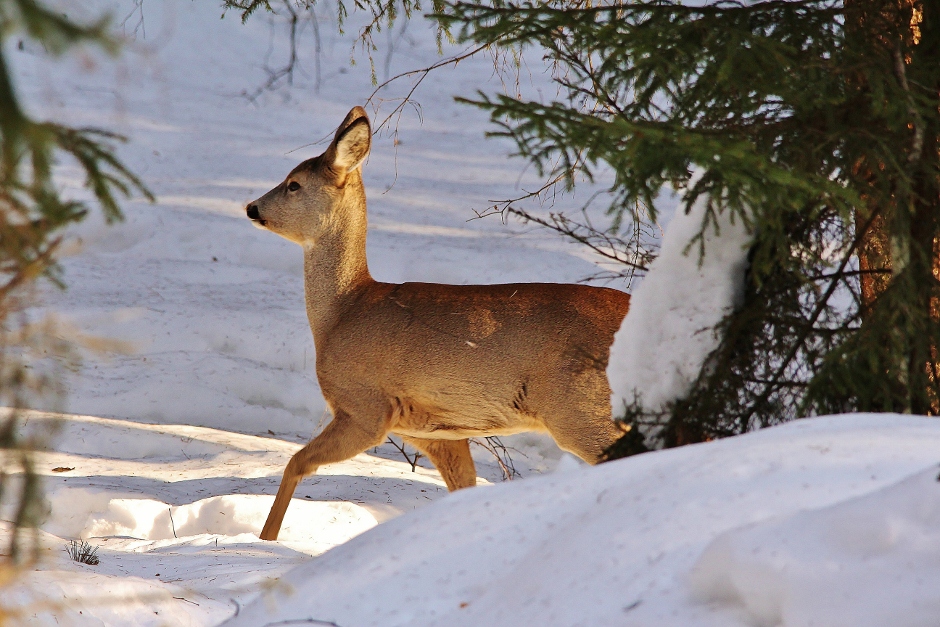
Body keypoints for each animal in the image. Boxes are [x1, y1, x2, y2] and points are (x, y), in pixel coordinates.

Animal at [248, 106, 632, 540]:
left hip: (582, 408)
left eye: (294, 184)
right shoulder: (436, 432)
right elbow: (463, 489)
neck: (343, 311)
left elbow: (295, 462)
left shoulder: (365, 406)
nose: (252, 208)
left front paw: (265, 540)